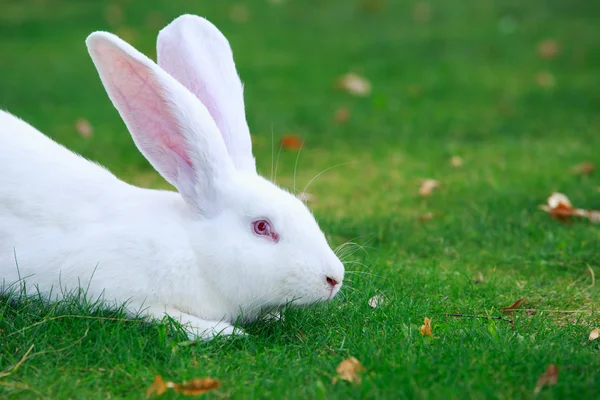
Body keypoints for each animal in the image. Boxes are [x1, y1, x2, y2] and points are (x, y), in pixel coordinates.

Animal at [0, 15, 344, 340]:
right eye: (262, 227)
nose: (335, 278)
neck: (194, 250)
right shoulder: (113, 290)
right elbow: (161, 315)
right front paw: (222, 332)